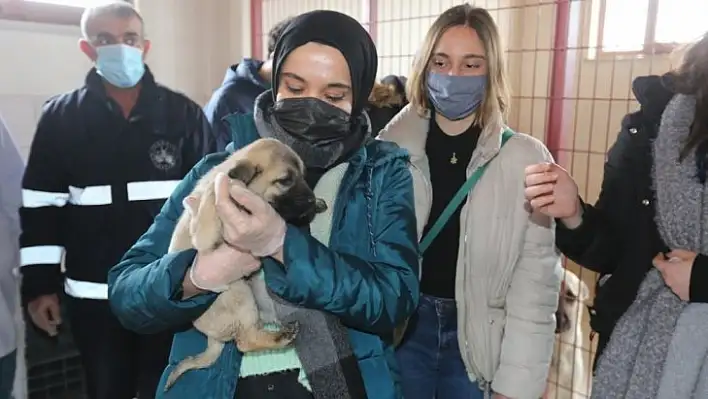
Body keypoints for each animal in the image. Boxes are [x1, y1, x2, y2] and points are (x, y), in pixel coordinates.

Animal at [167, 138, 330, 390]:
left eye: (303, 176)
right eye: (285, 180)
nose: (311, 200)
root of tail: (212, 338)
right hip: (239, 293)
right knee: (245, 341)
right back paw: (281, 336)